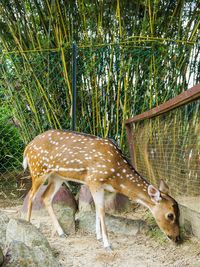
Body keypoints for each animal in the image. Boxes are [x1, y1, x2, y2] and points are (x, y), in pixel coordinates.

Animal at [22, 130, 180, 249]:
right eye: (170, 215)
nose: (177, 238)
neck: (116, 176)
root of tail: (27, 148)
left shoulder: (100, 186)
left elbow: (98, 209)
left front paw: (98, 237)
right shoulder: (94, 180)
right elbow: (102, 210)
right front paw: (107, 244)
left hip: (57, 177)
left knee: (46, 197)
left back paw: (62, 233)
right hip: (37, 170)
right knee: (31, 196)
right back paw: (28, 227)